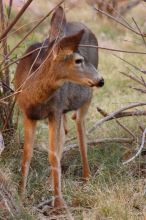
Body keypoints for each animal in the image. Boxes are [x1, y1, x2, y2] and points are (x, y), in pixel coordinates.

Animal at [14, 6, 104, 207]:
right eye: (78, 60)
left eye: (82, 58)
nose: (101, 80)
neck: (34, 97)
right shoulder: (27, 113)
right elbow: (26, 155)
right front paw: (21, 196)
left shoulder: (54, 110)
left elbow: (52, 155)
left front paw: (59, 204)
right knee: (66, 132)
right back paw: (50, 181)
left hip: (85, 97)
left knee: (80, 129)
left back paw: (86, 178)